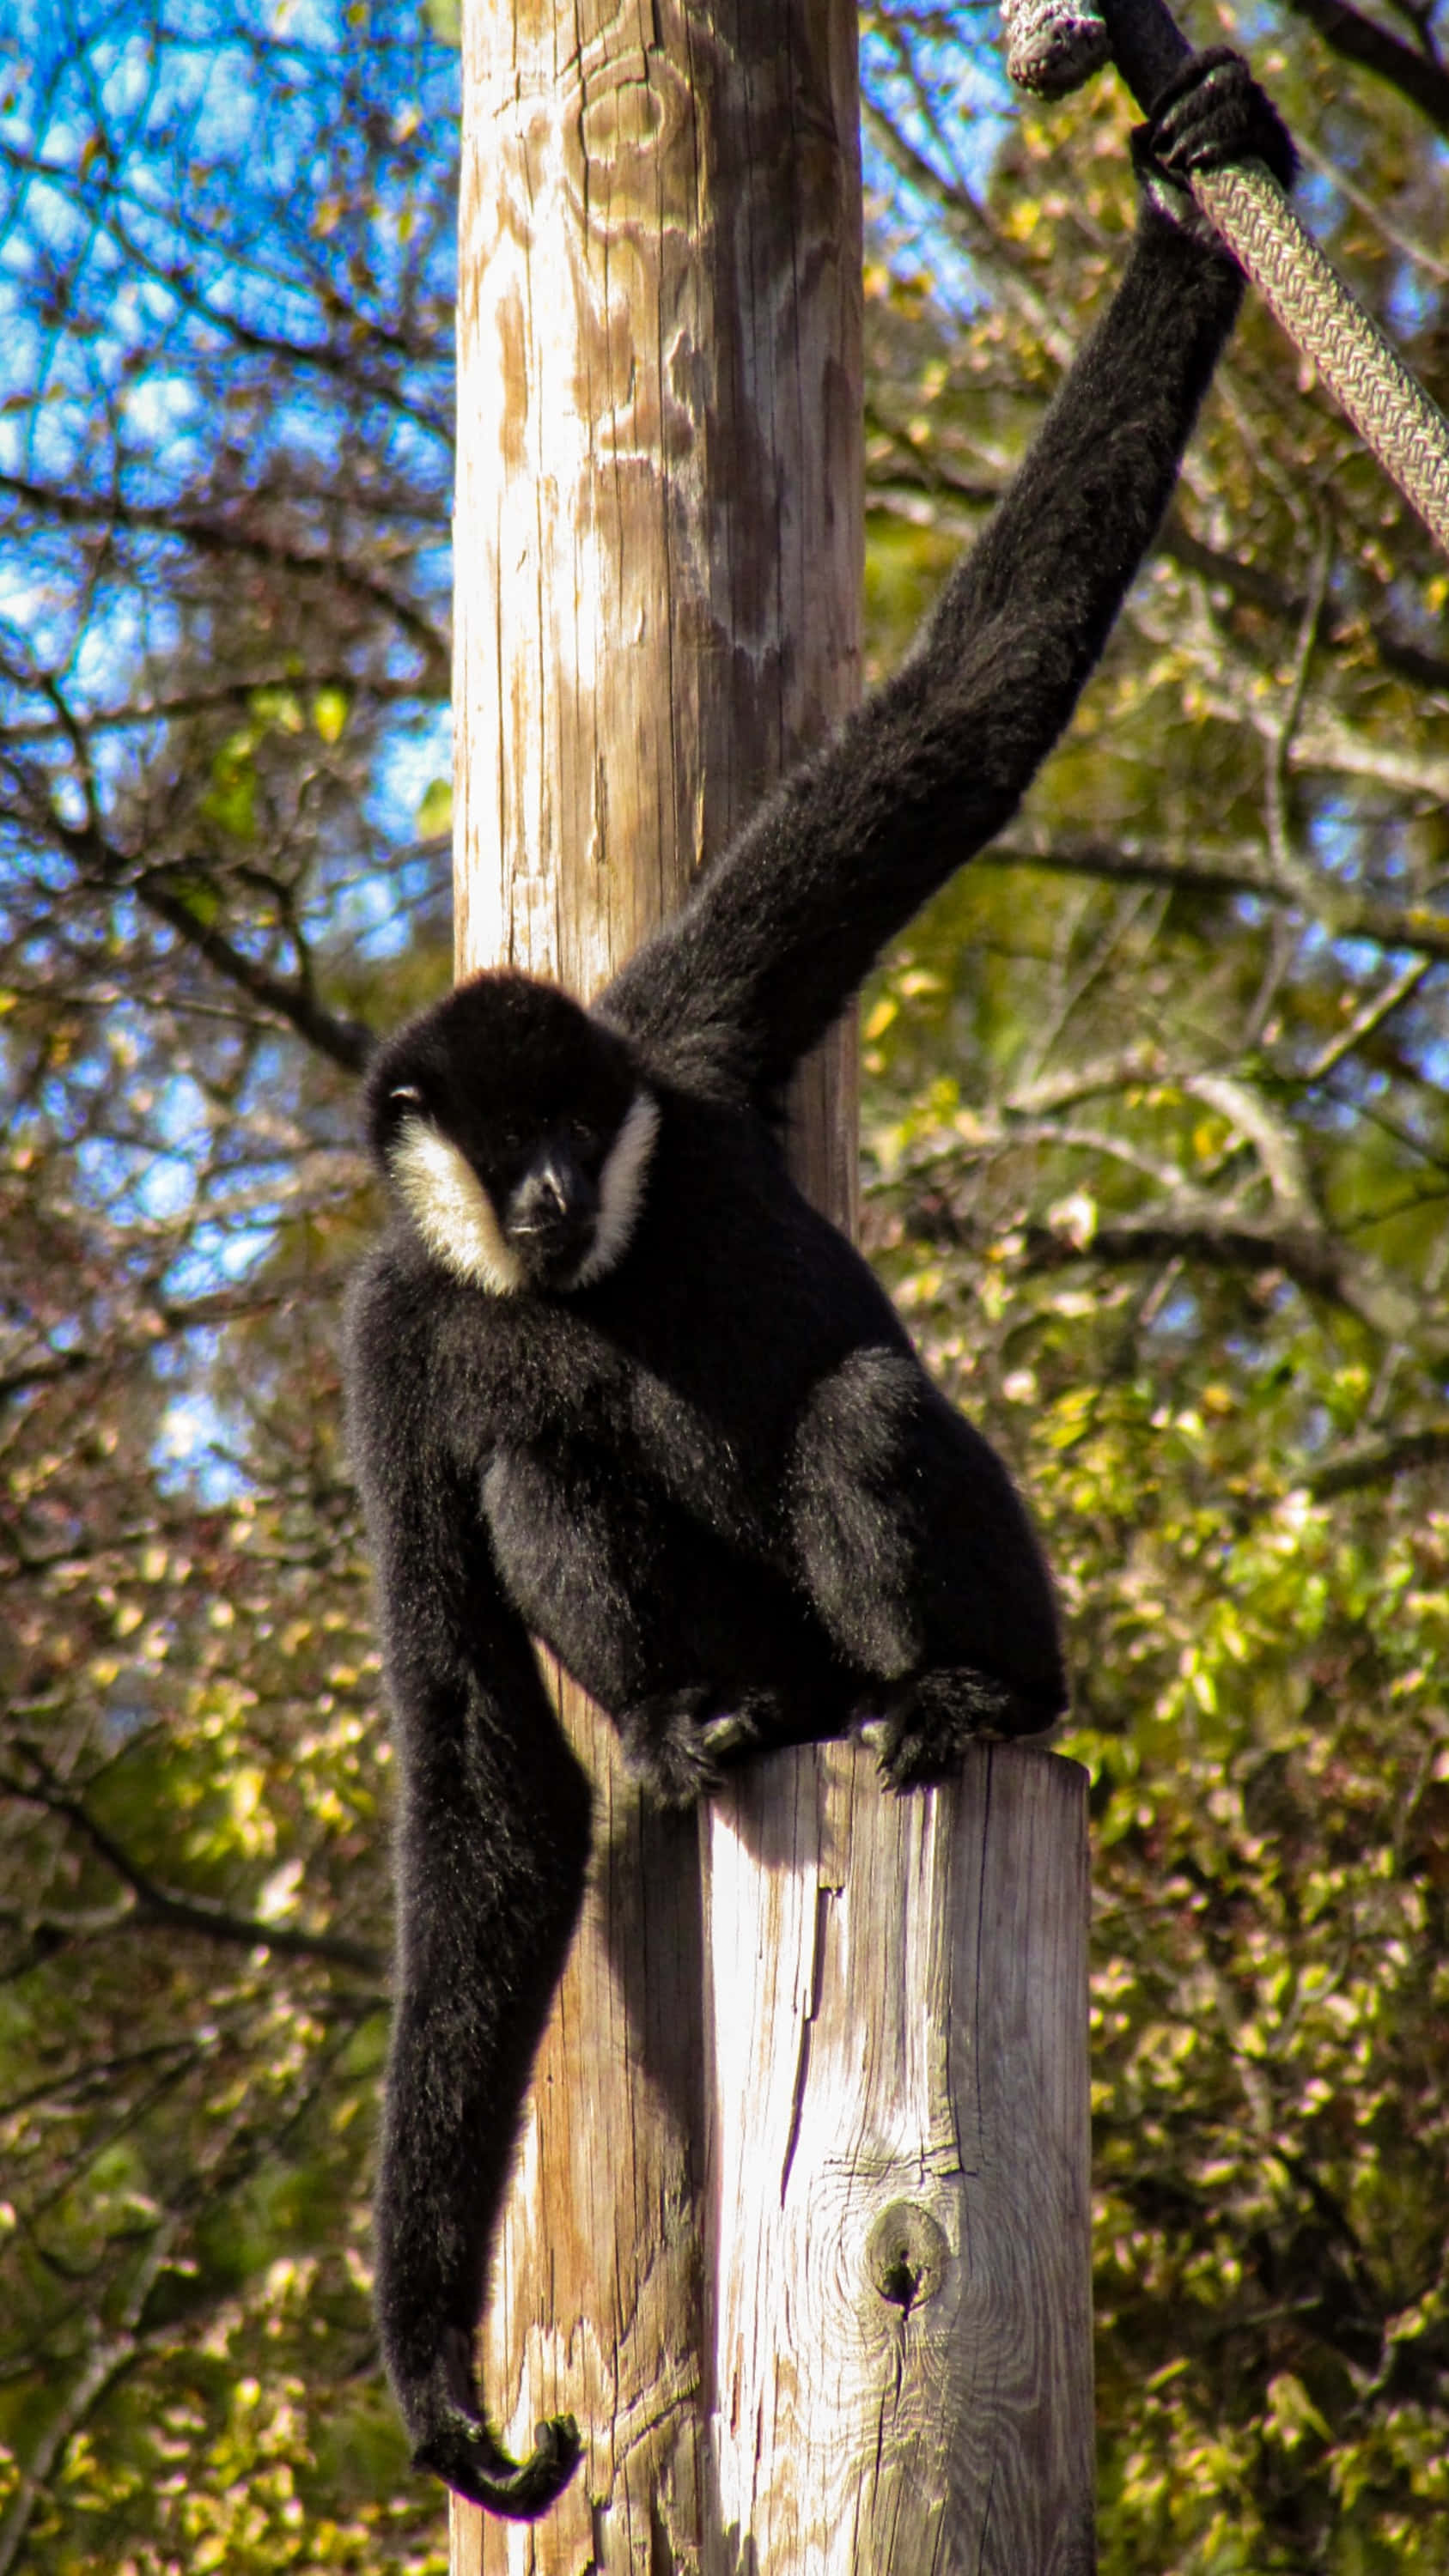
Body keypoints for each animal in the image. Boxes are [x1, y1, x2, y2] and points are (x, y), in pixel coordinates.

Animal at [344, 53, 1295, 2519]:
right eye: (495, 1145)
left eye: (571, 1122)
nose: (550, 1181)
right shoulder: (387, 1337)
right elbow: (479, 1767)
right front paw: (428, 2364)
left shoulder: (681, 1031)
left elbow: (960, 724)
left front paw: (1190, 197)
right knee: (539, 1471)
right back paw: (715, 1723)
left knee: (864, 1413)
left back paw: (962, 1694)